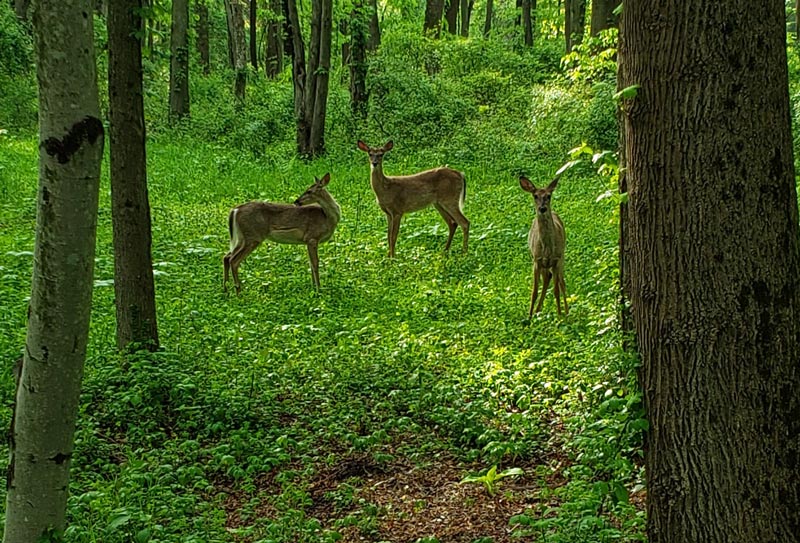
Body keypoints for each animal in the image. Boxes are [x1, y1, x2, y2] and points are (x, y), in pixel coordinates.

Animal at [520, 176, 568, 316]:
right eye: (535, 195)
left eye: (549, 196)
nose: (542, 208)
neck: (547, 249)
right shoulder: (537, 260)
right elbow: (534, 291)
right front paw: (529, 316)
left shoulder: (556, 260)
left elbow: (556, 290)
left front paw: (560, 315)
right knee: (547, 278)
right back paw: (537, 311)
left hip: (561, 259)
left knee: (562, 283)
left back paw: (567, 311)